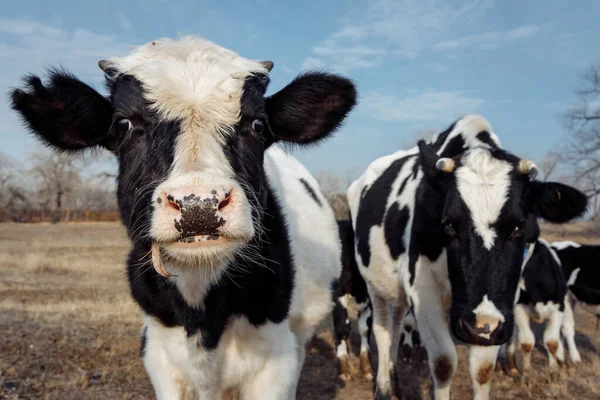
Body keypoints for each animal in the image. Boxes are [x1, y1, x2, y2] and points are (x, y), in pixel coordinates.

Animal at [11, 36, 356, 398]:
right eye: (123, 124)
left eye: (258, 124)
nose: (199, 205)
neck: (202, 318)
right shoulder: (158, 352)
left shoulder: (276, 361)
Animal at [350, 115, 588, 400]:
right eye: (449, 224)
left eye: (519, 226)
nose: (480, 326)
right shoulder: (422, 290)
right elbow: (443, 363)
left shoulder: (502, 309)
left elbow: (483, 370)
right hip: (373, 284)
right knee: (383, 331)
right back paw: (385, 389)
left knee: (395, 328)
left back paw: (396, 385)